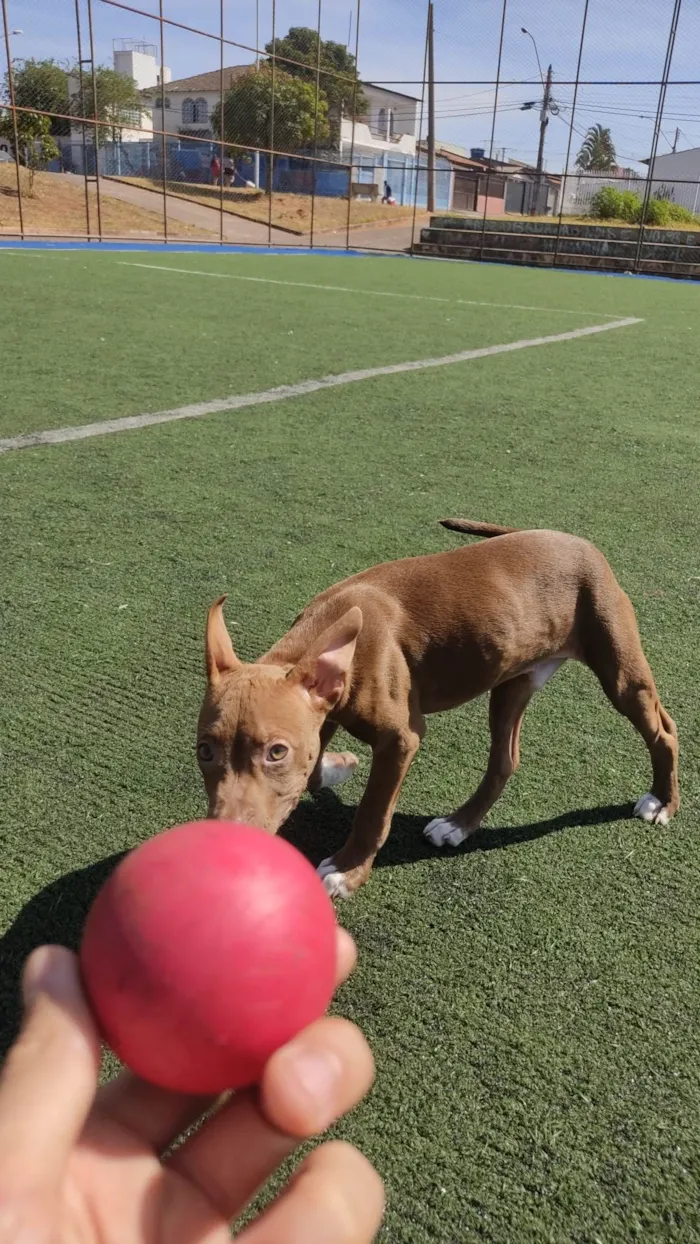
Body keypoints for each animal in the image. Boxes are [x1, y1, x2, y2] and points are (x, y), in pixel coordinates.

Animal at [196, 519, 681, 900]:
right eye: (204, 751)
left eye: (276, 752)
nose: (225, 844)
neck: (335, 635)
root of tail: (577, 541)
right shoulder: (325, 710)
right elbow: (313, 768)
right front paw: (337, 766)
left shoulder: (400, 738)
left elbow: (374, 813)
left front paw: (347, 871)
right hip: (512, 682)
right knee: (505, 760)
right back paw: (458, 825)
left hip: (620, 672)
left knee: (664, 732)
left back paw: (662, 801)